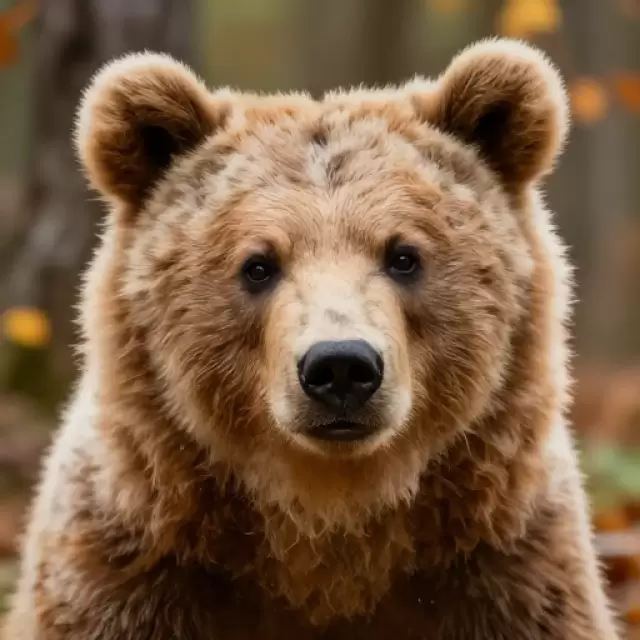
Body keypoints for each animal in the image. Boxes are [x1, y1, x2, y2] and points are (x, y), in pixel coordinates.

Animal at [3, 38, 621, 639]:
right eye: (258, 265)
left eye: (403, 255)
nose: (341, 365)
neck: (328, 523)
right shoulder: (132, 568)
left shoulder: (504, 567)